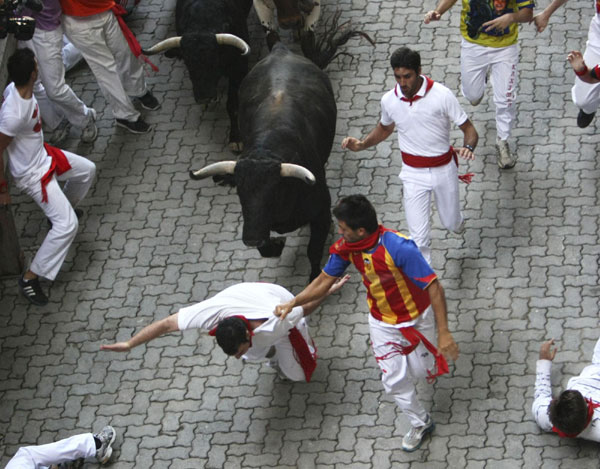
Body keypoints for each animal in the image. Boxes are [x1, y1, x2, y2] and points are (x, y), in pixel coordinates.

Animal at [190, 43, 336, 278]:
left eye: (272, 192)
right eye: (240, 192)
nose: (251, 239)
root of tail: (280, 50)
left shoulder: (321, 209)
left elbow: (314, 251)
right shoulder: (258, 224)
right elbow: (265, 248)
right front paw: (275, 244)